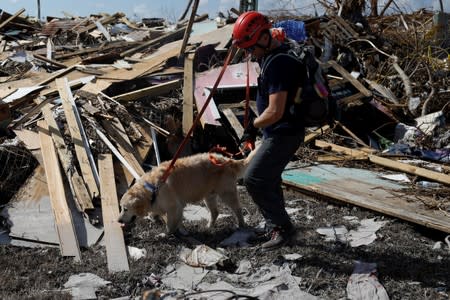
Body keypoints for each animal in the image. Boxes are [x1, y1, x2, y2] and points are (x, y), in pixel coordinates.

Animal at [118, 145, 258, 234]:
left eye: (125, 209)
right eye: (121, 208)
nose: (118, 220)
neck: (152, 188)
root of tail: (227, 160)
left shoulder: (174, 206)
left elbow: (170, 224)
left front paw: (168, 233)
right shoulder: (174, 207)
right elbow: (172, 218)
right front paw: (180, 229)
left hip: (226, 193)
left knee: (238, 209)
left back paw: (241, 225)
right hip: (209, 196)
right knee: (215, 212)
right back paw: (209, 227)